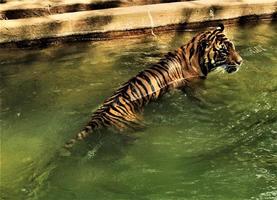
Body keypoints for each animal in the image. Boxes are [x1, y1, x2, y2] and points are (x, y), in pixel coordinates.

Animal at [64, 23, 242, 150]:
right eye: (224, 51)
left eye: (233, 47)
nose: (240, 61)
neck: (195, 56)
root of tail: (99, 116)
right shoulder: (194, 86)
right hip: (135, 128)